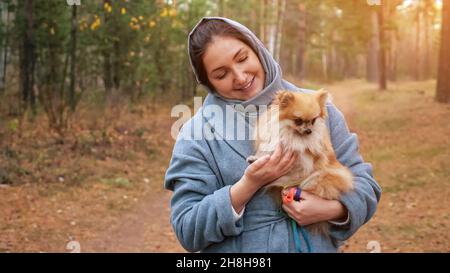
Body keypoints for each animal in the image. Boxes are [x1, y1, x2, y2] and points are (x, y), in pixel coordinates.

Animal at [248, 88, 354, 234]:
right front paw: (256, 158)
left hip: (322, 176)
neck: (292, 134)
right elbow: (269, 151)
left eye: (313, 121)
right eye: (298, 121)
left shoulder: (307, 162)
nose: (309, 131)